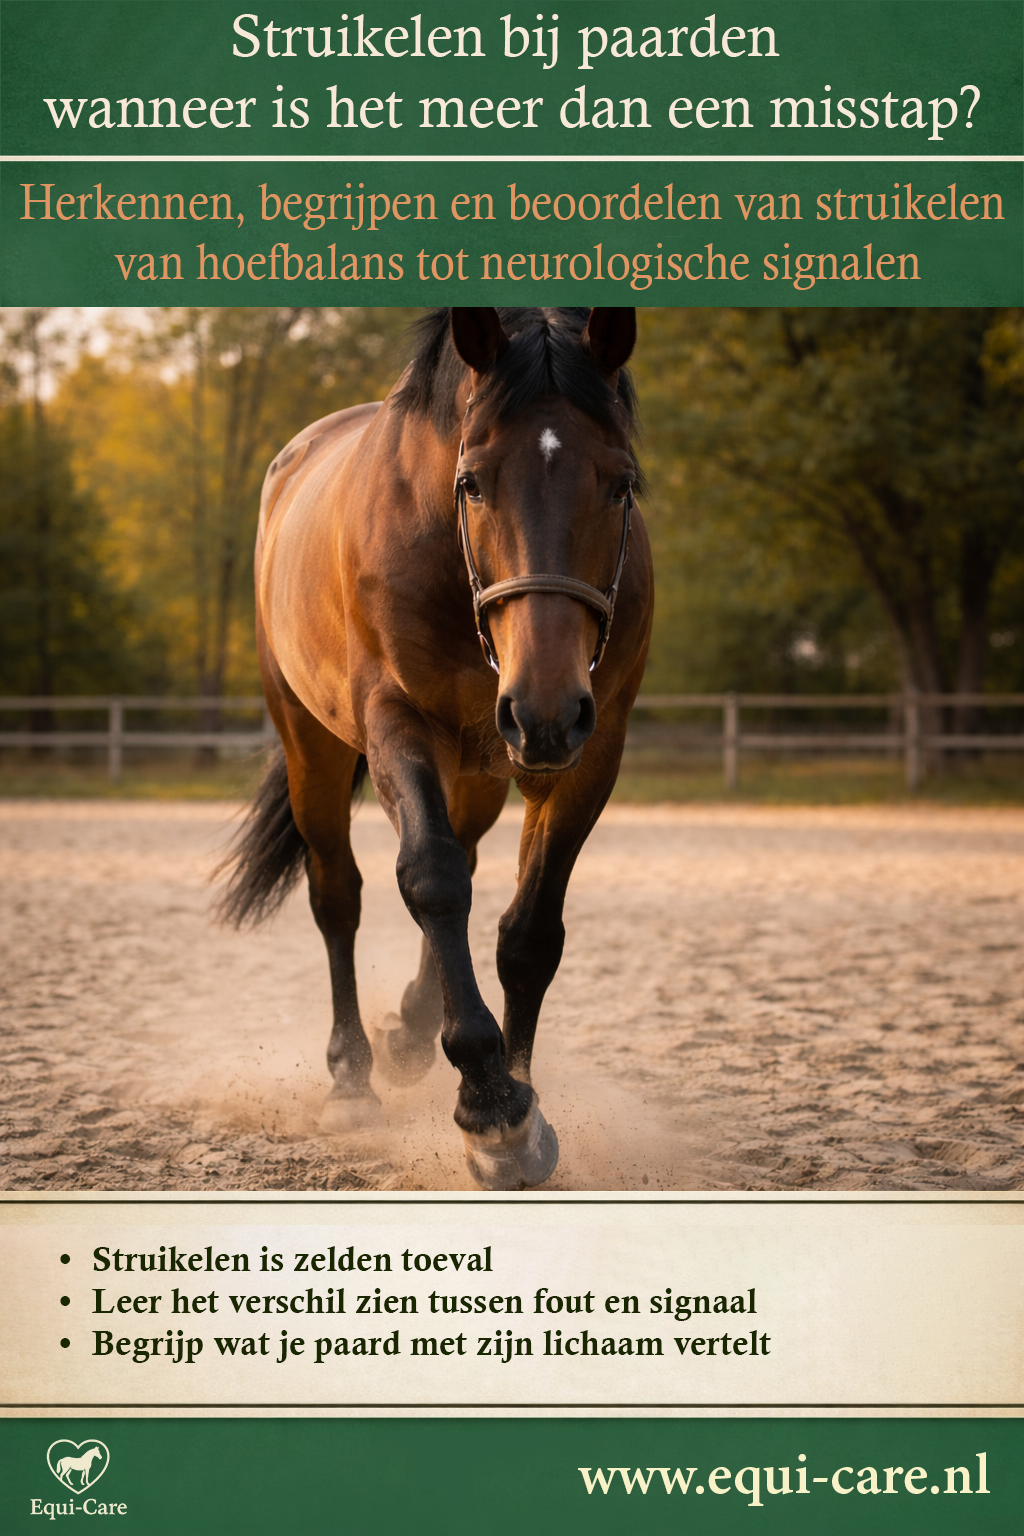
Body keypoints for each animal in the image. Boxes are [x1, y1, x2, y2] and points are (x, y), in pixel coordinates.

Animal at [218, 306, 653, 1190]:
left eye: (620, 482)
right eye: (472, 482)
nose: (546, 707)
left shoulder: (590, 749)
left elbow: (529, 930)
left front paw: (519, 1102)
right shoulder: (395, 719)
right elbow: (432, 878)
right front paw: (489, 1101)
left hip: (485, 763)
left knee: (468, 854)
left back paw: (412, 1031)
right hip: (315, 745)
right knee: (339, 896)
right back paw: (352, 1078)